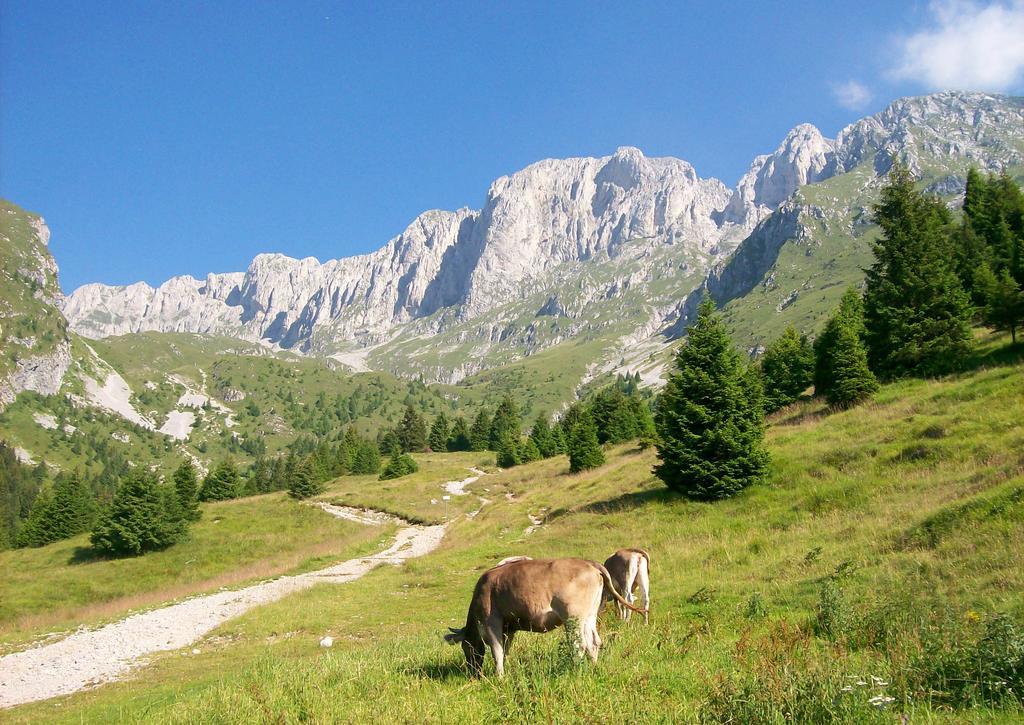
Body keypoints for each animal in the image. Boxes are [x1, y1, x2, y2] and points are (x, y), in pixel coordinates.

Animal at [444, 557, 643, 675]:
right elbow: (505, 650)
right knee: (594, 642)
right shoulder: (509, 628)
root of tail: (588, 563)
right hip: (589, 616)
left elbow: (497, 651)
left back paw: (575, 670)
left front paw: (499, 676)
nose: (473, 673)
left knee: (580, 645)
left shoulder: (491, 621)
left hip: (573, 617)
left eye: (465, 647)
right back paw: (594, 667)